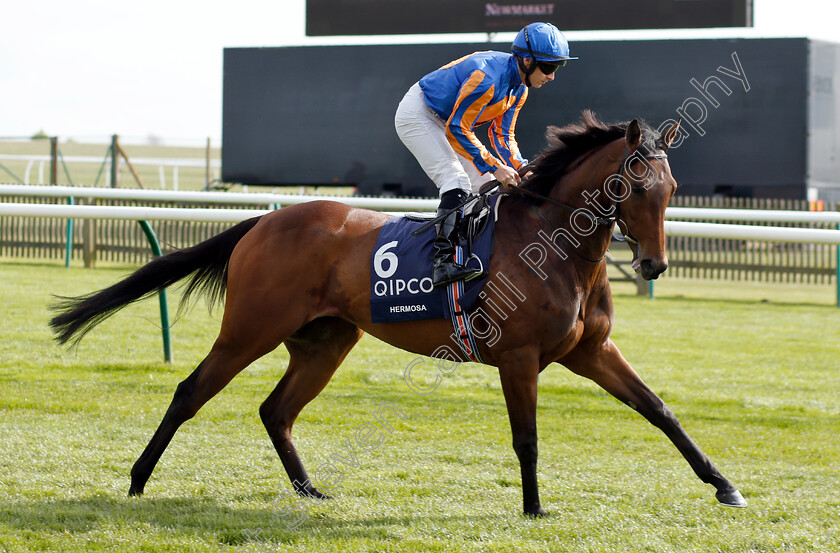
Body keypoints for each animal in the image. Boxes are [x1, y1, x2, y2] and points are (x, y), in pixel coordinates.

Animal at [52, 111, 744, 512]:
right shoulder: (518, 357)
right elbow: (527, 438)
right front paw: (534, 509)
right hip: (251, 328)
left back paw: (309, 490)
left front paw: (724, 485)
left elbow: (659, 409)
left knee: (276, 409)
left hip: (325, 341)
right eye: (633, 185)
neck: (557, 243)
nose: (653, 265)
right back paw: (138, 479)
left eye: (672, 189)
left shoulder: (589, 350)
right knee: (191, 391)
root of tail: (265, 220)